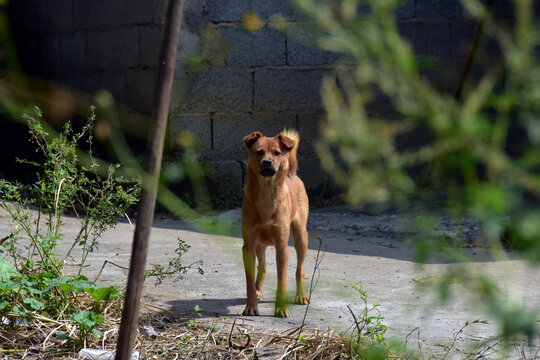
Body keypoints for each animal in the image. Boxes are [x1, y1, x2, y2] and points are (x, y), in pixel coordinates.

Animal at [240, 129, 308, 318]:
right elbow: (249, 280)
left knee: (300, 269)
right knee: (262, 266)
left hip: (301, 237)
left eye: (277, 153)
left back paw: (301, 295)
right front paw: (251, 306)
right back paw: (258, 290)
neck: (266, 194)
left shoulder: (282, 246)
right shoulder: (248, 246)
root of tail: (293, 174)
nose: (267, 162)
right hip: (259, 244)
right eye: (259, 152)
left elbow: (281, 279)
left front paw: (281, 308)